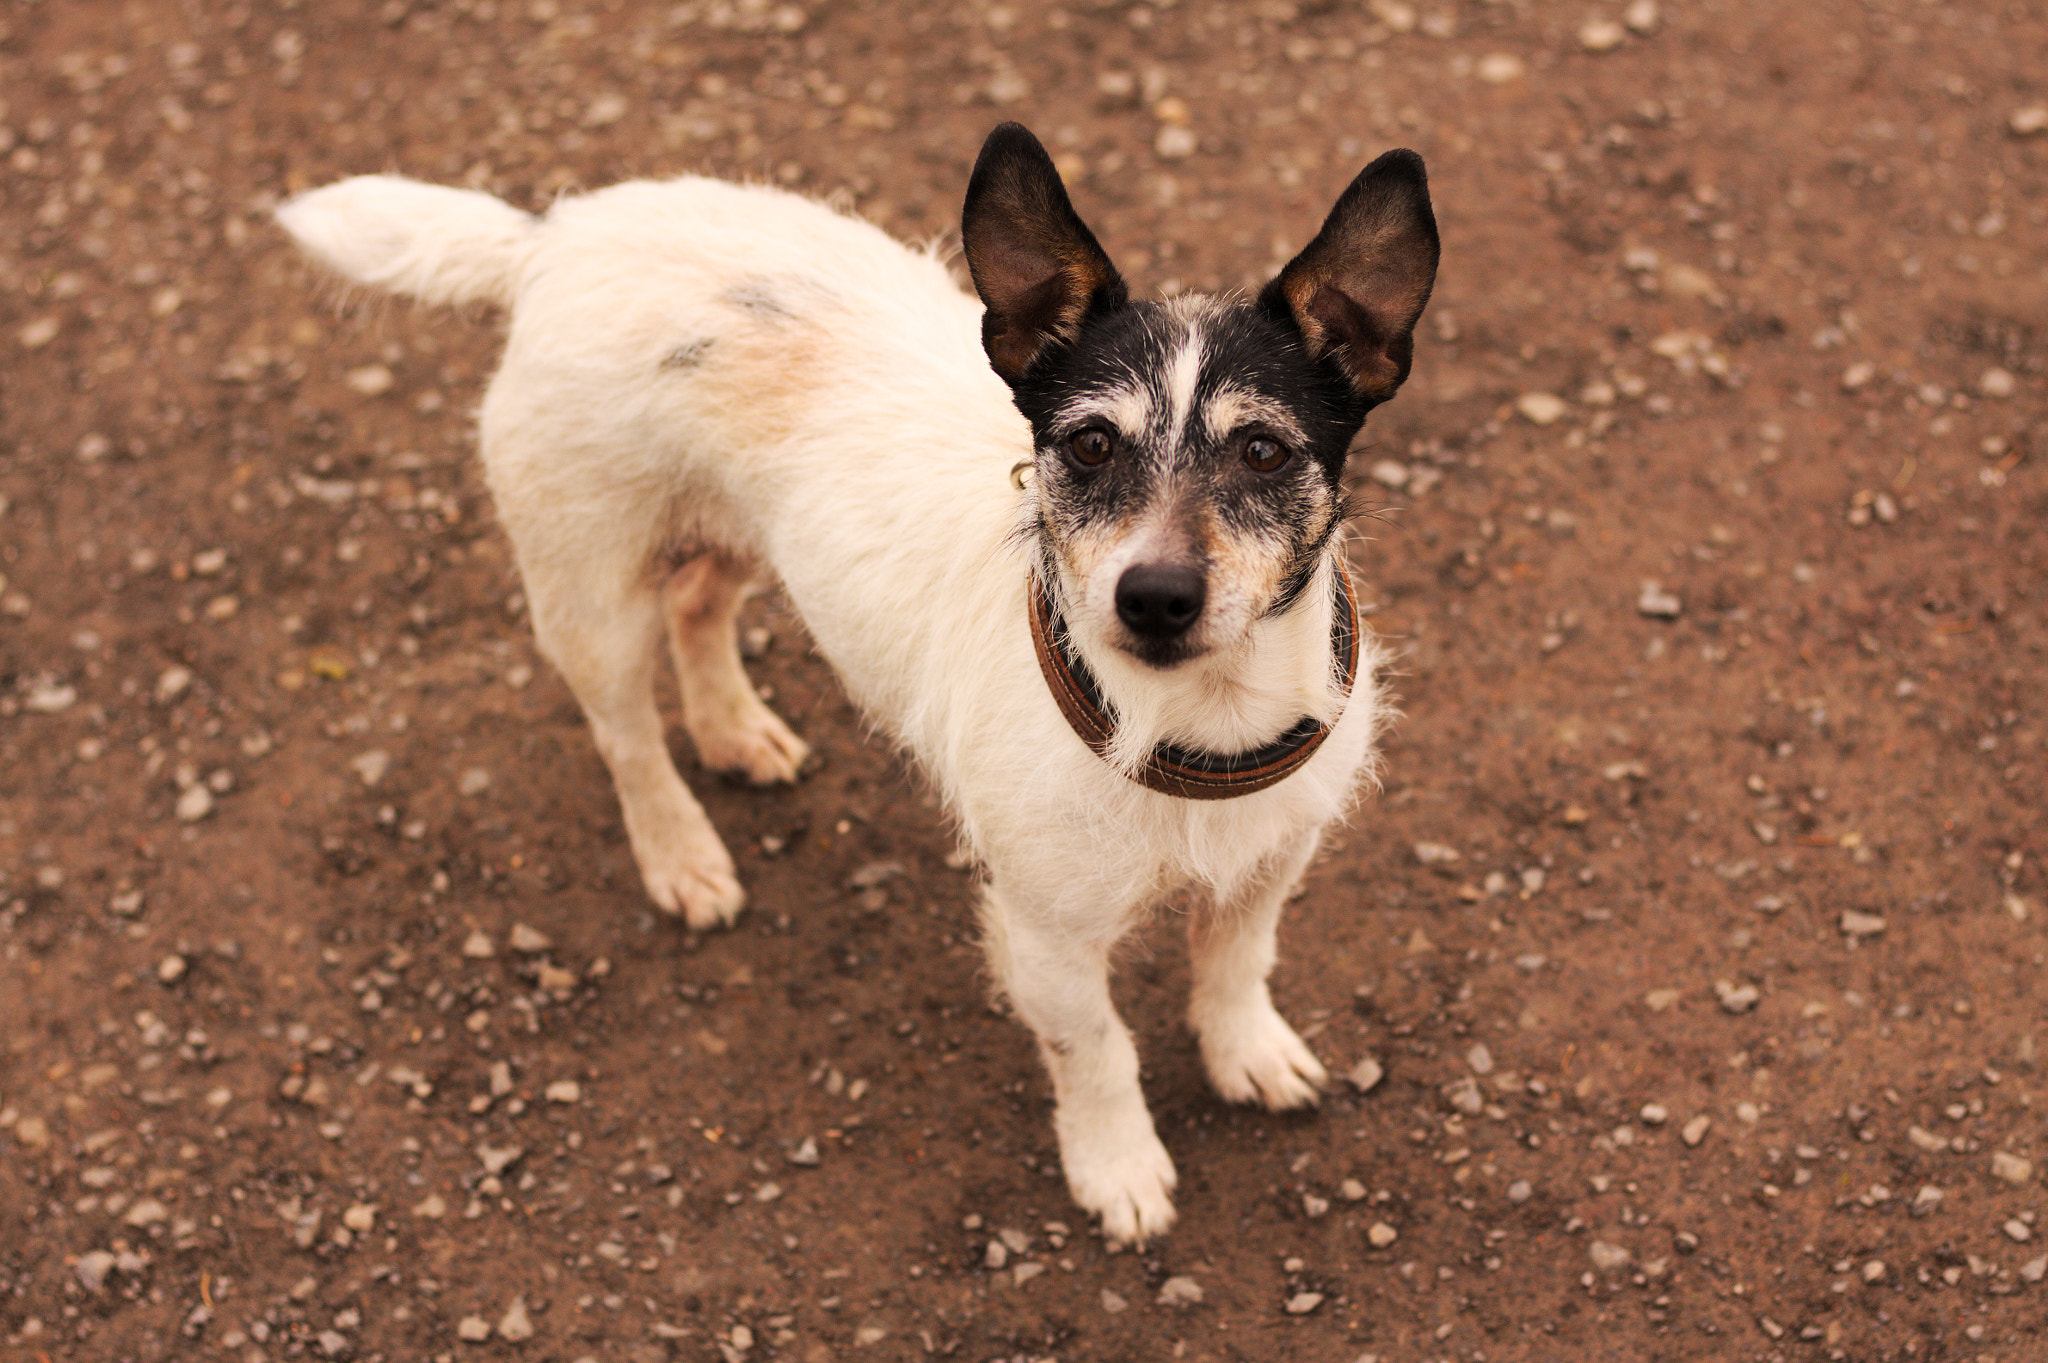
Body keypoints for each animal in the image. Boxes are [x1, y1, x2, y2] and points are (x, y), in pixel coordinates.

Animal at [280, 127, 1441, 1244]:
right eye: (1087, 444)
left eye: (1263, 450)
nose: (1153, 596)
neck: (1194, 722)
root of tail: (554, 237)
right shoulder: (1047, 939)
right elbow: (1097, 1049)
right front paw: (1116, 1168)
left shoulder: (1272, 859)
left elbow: (1238, 962)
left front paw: (1246, 1050)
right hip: (589, 589)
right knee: (625, 733)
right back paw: (681, 853)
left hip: (751, 533)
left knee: (698, 608)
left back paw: (735, 729)